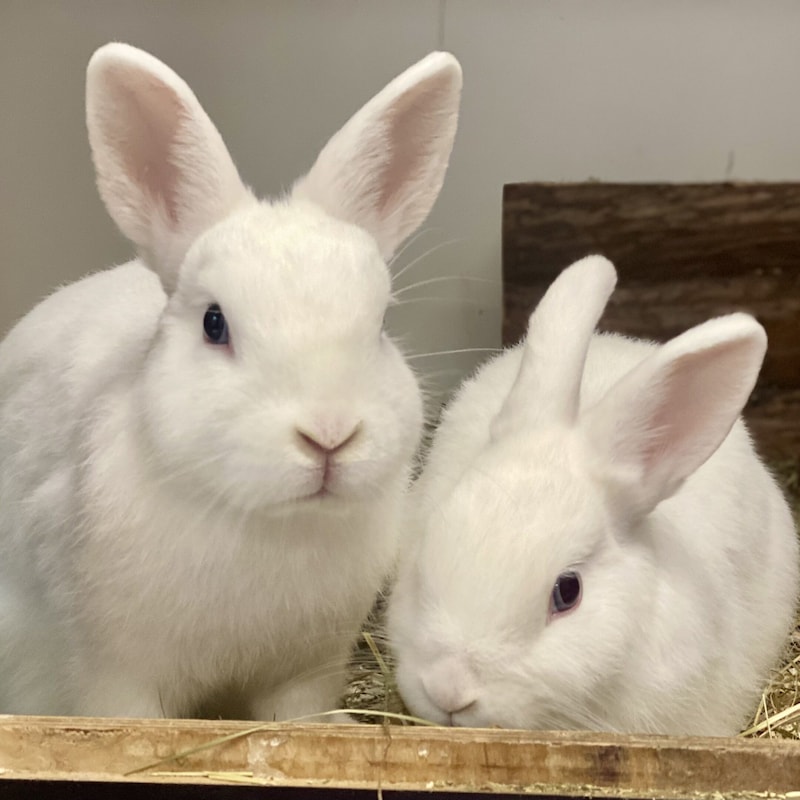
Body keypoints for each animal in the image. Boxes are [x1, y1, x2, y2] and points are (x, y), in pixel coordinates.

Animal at [0, 42, 462, 720]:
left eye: (380, 324)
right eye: (214, 323)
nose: (329, 435)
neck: (267, 524)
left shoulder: (305, 673)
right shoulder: (112, 675)